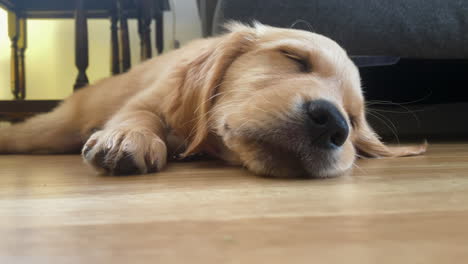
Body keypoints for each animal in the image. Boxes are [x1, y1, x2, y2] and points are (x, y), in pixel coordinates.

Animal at [0, 22, 424, 178]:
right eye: (294, 58)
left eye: (352, 120)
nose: (333, 124)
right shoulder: (149, 99)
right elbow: (139, 115)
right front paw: (129, 138)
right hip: (56, 126)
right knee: (25, 133)